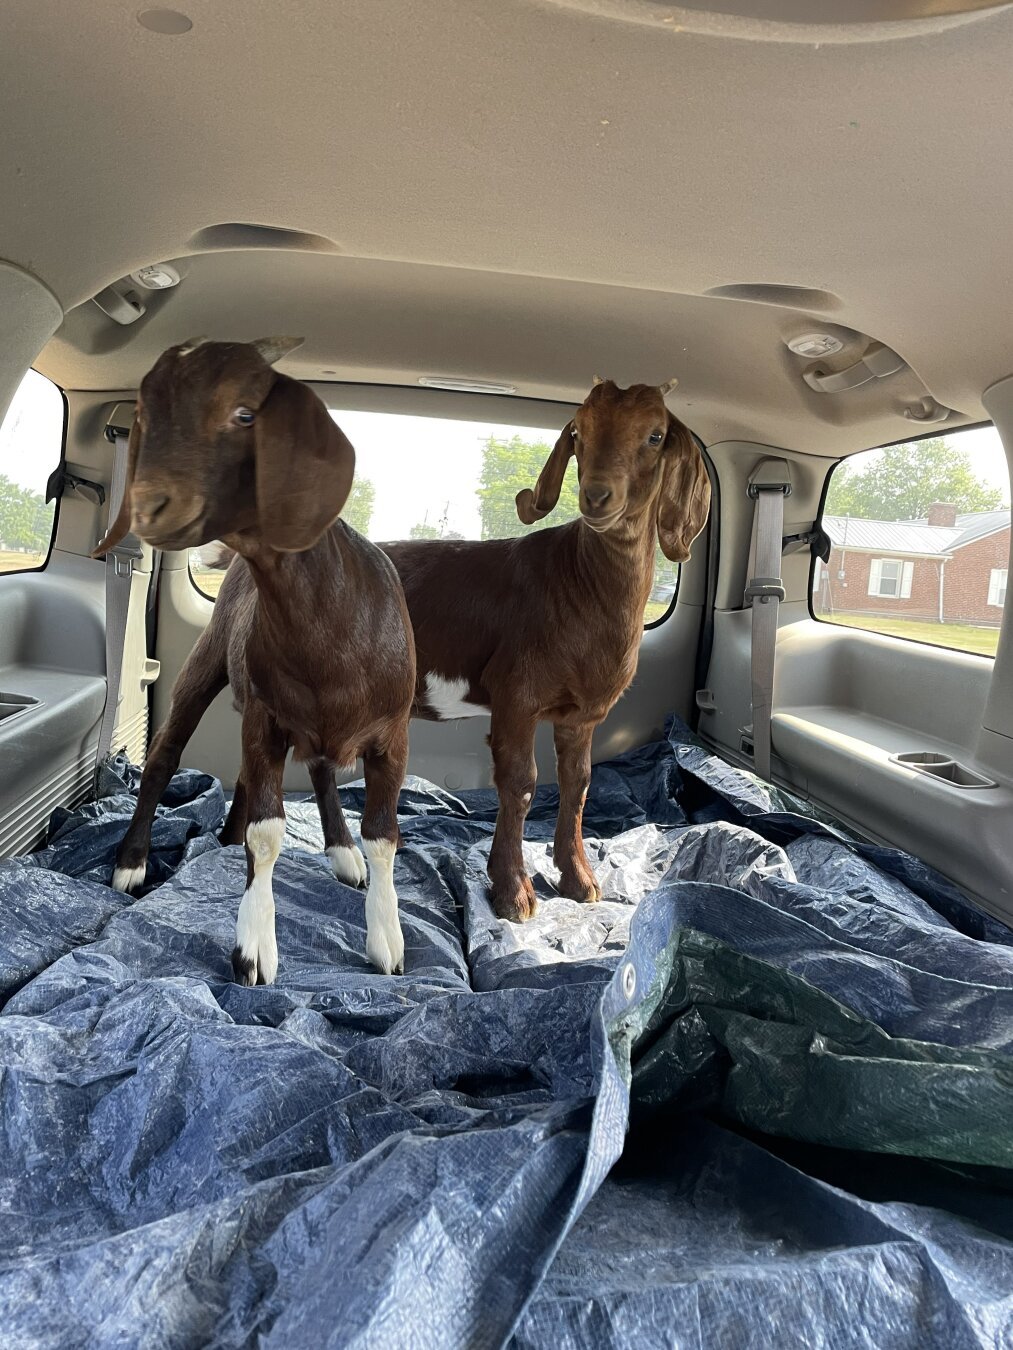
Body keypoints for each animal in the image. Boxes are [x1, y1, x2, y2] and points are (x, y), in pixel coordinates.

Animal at [93, 342, 413, 988]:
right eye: (147, 415)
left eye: (245, 415)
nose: (148, 505)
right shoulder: (266, 716)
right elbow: (266, 834)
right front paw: (255, 946)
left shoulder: (392, 735)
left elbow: (384, 836)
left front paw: (387, 938)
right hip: (209, 659)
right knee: (166, 756)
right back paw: (133, 863)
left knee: (312, 769)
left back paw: (337, 850)